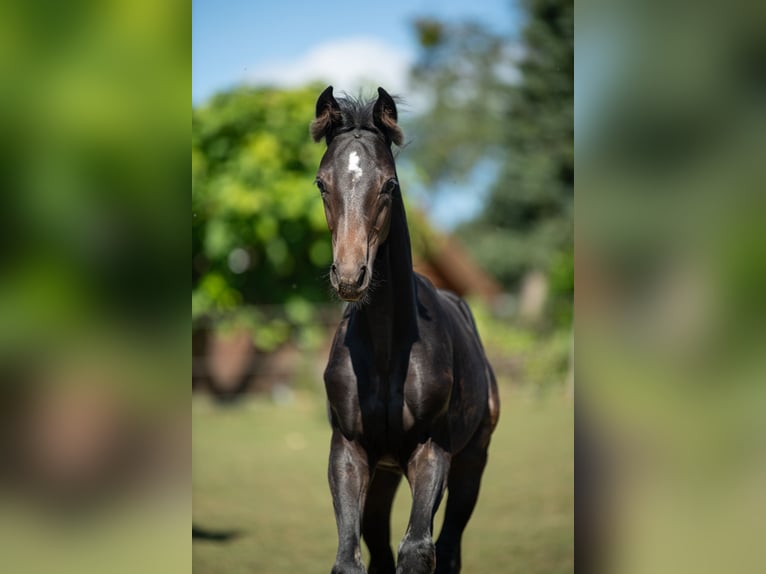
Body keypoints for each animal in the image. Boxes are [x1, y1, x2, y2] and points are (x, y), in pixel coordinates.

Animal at [311, 86, 500, 574]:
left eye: (389, 185)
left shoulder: (432, 451)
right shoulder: (349, 450)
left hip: (473, 459)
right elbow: (350, 560)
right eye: (321, 183)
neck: (383, 352)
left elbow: (417, 550)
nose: (350, 276)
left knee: (448, 549)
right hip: (384, 472)